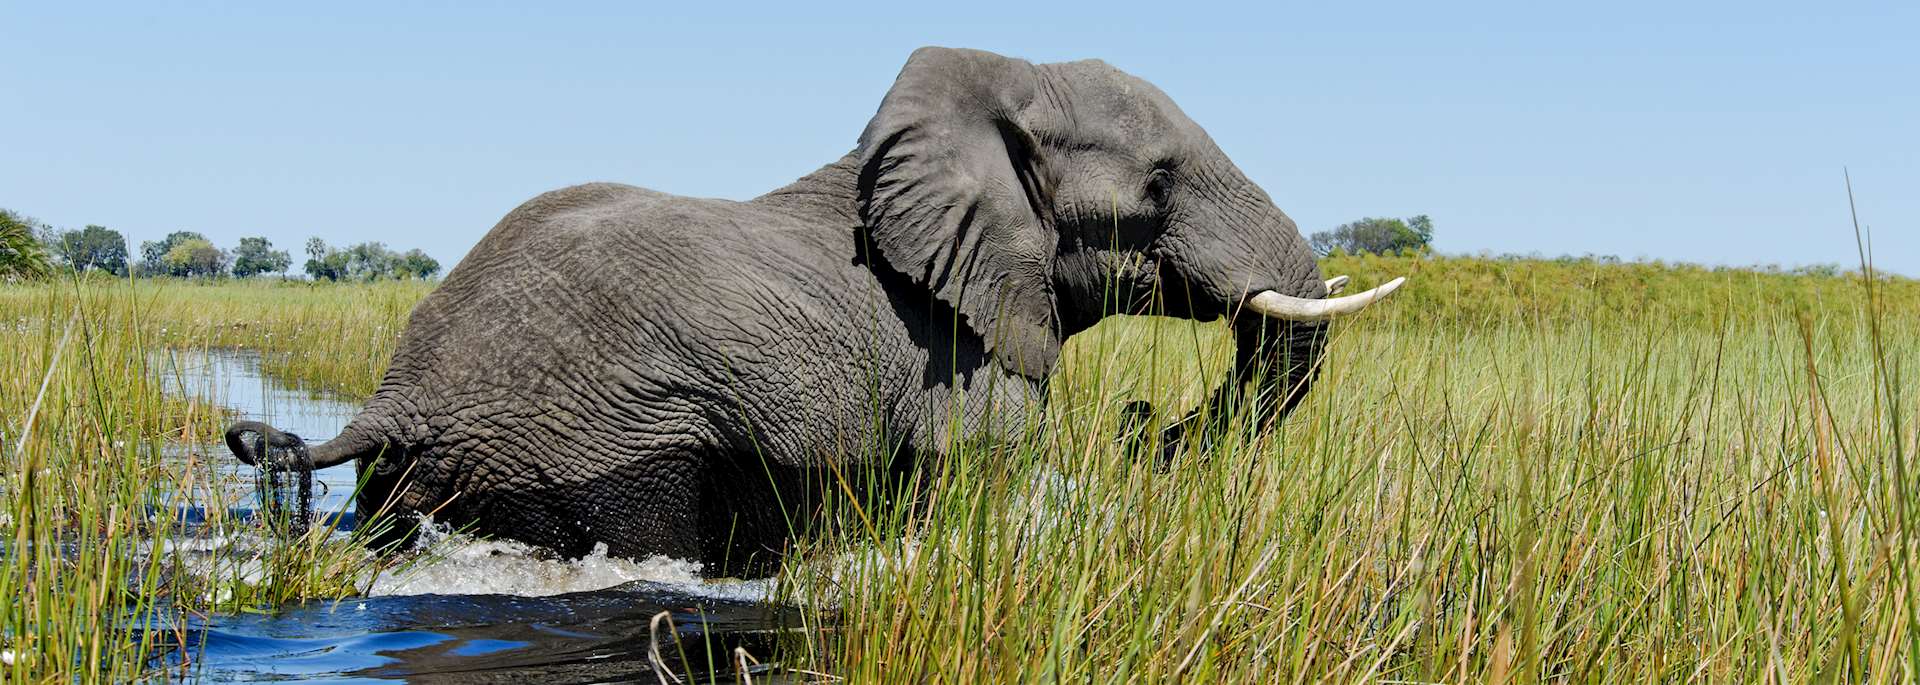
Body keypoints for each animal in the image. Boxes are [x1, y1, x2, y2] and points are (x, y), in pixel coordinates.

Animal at [225, 47, 1404, 576]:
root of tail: (398, 394)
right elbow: (983, 472)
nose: (1144, 427)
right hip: (607, 441)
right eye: (1157, 185)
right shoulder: (960, 350)